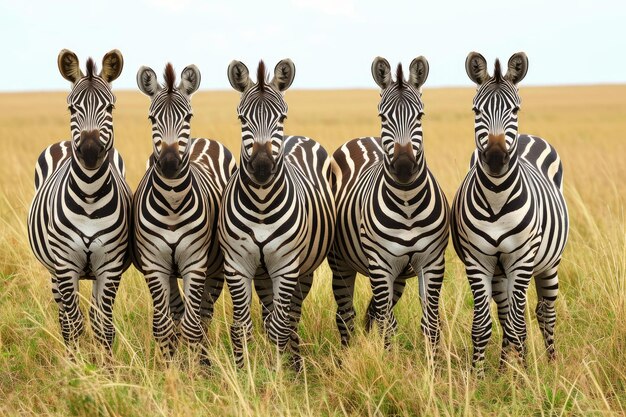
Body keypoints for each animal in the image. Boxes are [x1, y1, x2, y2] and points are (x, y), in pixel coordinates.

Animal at [27, 49, 131, 352]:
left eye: (110, 108)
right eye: (72, 109)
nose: (90, 151)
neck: (89, 196)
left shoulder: (110, 265)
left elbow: (104, 325)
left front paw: (107, 364)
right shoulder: (64, 265)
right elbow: (74, 324)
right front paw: (76, 362)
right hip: (53, 270)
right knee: (64, 316)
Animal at [133, 63, 235, 360]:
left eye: (188, 116)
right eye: (151, 118)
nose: (169, 164)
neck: (172, 204)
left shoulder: (195, 262)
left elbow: (192, 325)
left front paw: (194, 366)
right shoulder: (154, 264)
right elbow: (163, 325)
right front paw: (170, 366)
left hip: (215, 267)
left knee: (203, 314)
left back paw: (203, 358)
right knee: (178, 312)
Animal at [219, 59, 336, 370]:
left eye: (281, 117)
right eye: (242, 119)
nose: (261, 167)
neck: (261, 204)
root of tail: (300, 138)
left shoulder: (286, 266)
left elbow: (278, 326)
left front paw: (277, 372)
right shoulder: (237, 265)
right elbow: (242, 326)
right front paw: (243, 372)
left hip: (303, 270)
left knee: (291, 317)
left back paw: (295, 363)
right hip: (263, 274)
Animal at [330, 54, 446, 348]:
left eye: (420, 115)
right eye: (383, 116)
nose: (404, 166)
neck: (407, 205)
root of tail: (360, 139)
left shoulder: (431, 262)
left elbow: (430, 323)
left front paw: (435, 360)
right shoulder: (381, 265)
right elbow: (389, 324)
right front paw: (390, 358)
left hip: (399, 276)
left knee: (373, 313)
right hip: (341, 262)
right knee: (346, 314)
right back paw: (346, 353)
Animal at [450, 52, 568, 374]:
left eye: (515, 108)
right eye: (476, 109)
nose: (495, 158)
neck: (496, 199)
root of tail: (527, 136)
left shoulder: (522, 259)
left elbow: (518, 324)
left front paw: (525, 375)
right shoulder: (477, 261)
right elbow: (483, 324)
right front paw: (479, 376)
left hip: (547, 264)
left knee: (544, 312)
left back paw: (549, 363)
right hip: (500, 273)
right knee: (505, 315)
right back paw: (505, 367)